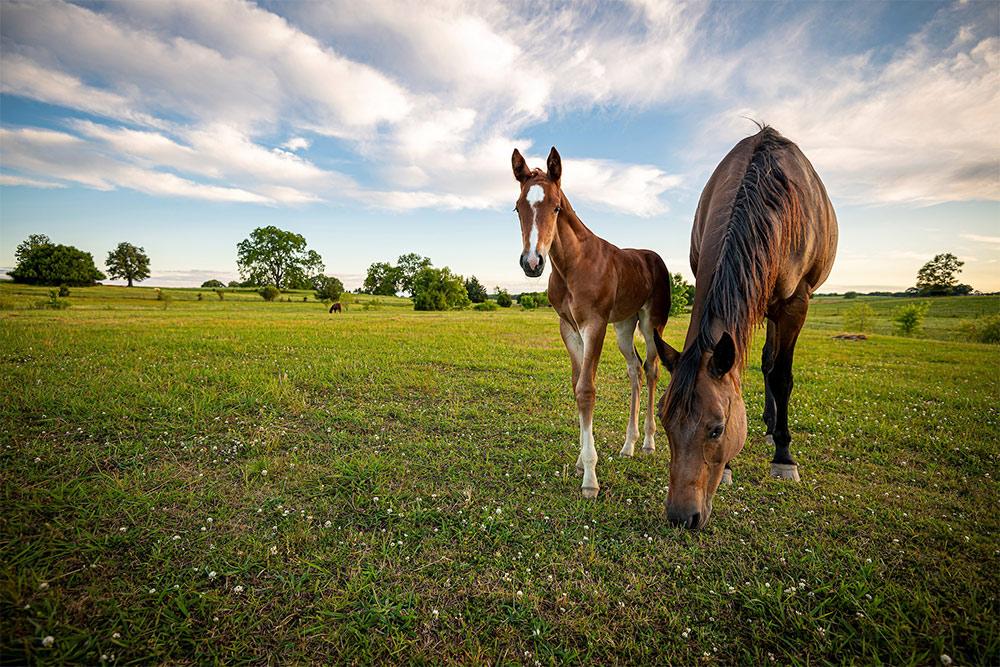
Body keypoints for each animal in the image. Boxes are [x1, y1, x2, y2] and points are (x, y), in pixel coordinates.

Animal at [511, 146, 672, 498]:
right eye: (517, 208)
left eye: (556, 207)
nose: (532, 263)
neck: (573, 265)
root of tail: (654, 258)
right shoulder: (569, 329)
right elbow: (576, 384)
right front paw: (580, 463)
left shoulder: (594, 325)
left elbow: (587, 389)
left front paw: (590, 479)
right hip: (624, 326)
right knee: (634, 370)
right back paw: (628, 445)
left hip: (651, 323)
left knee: (651, 368)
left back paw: (649, 442)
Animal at [652, 126, 838, 529]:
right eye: (663, 420)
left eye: (717, 428)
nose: (681, 517)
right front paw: (730, 467)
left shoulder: (796, 302)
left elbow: (782, 376)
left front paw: (784, 458)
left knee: (773, 365)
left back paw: (775, 434)